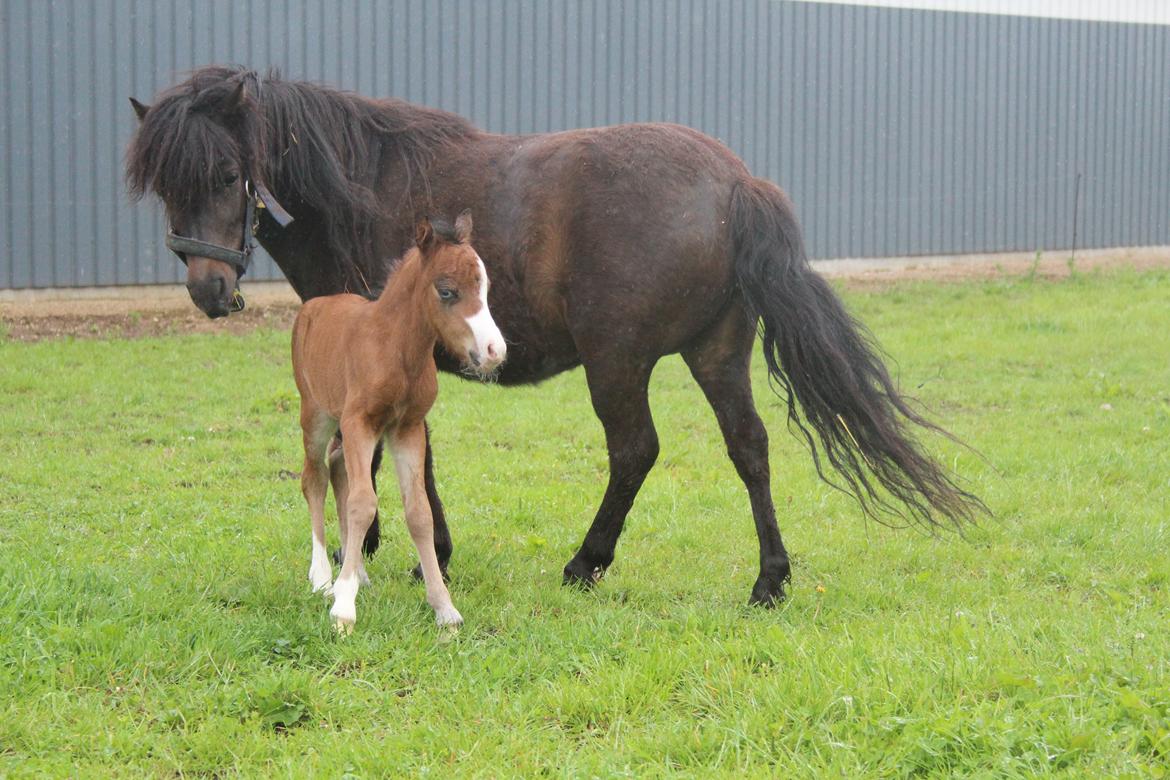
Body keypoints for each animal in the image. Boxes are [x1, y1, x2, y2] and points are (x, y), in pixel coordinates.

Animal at [290, 210, 505, 631]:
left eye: (486, 287)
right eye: (447, 291)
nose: (494, 351)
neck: (396, 349)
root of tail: (312, 306)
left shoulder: (407, 428)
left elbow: (419, 512)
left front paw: (444, 609)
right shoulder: (360, 421)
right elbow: (362, 502)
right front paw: (343, 609)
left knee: (338, 469)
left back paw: (357, 574)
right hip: (317, 414)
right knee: (315, 477)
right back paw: (322, 577)